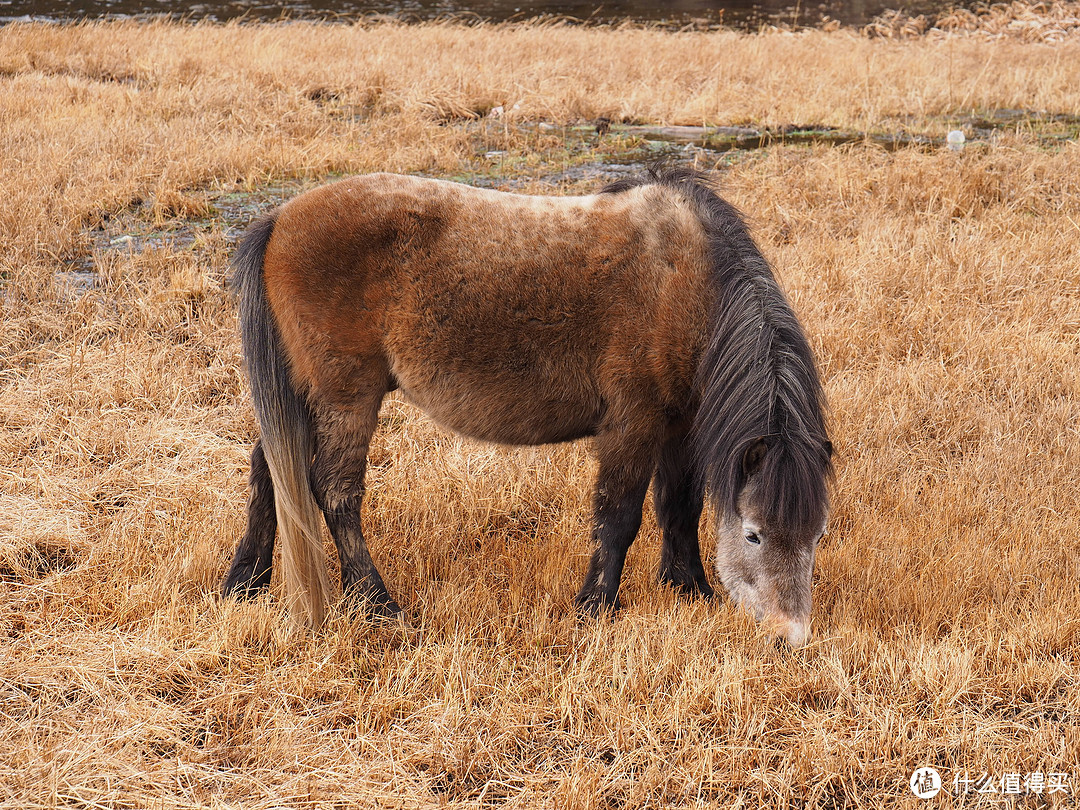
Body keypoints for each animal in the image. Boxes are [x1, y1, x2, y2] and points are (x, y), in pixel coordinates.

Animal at [221, 168, 833, 652]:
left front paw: (689, 588)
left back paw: (245, 581)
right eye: (753, 534)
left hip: (305, 398)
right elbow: (619, 517)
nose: (791, 636)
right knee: (334, 490)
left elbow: (678, 507)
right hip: (346, 397)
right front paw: (596, 606)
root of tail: (278, 219)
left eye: (816, 534)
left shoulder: (679, 425)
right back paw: (377, 602)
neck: (683, 281)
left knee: (270, 469)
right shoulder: (632, 424)